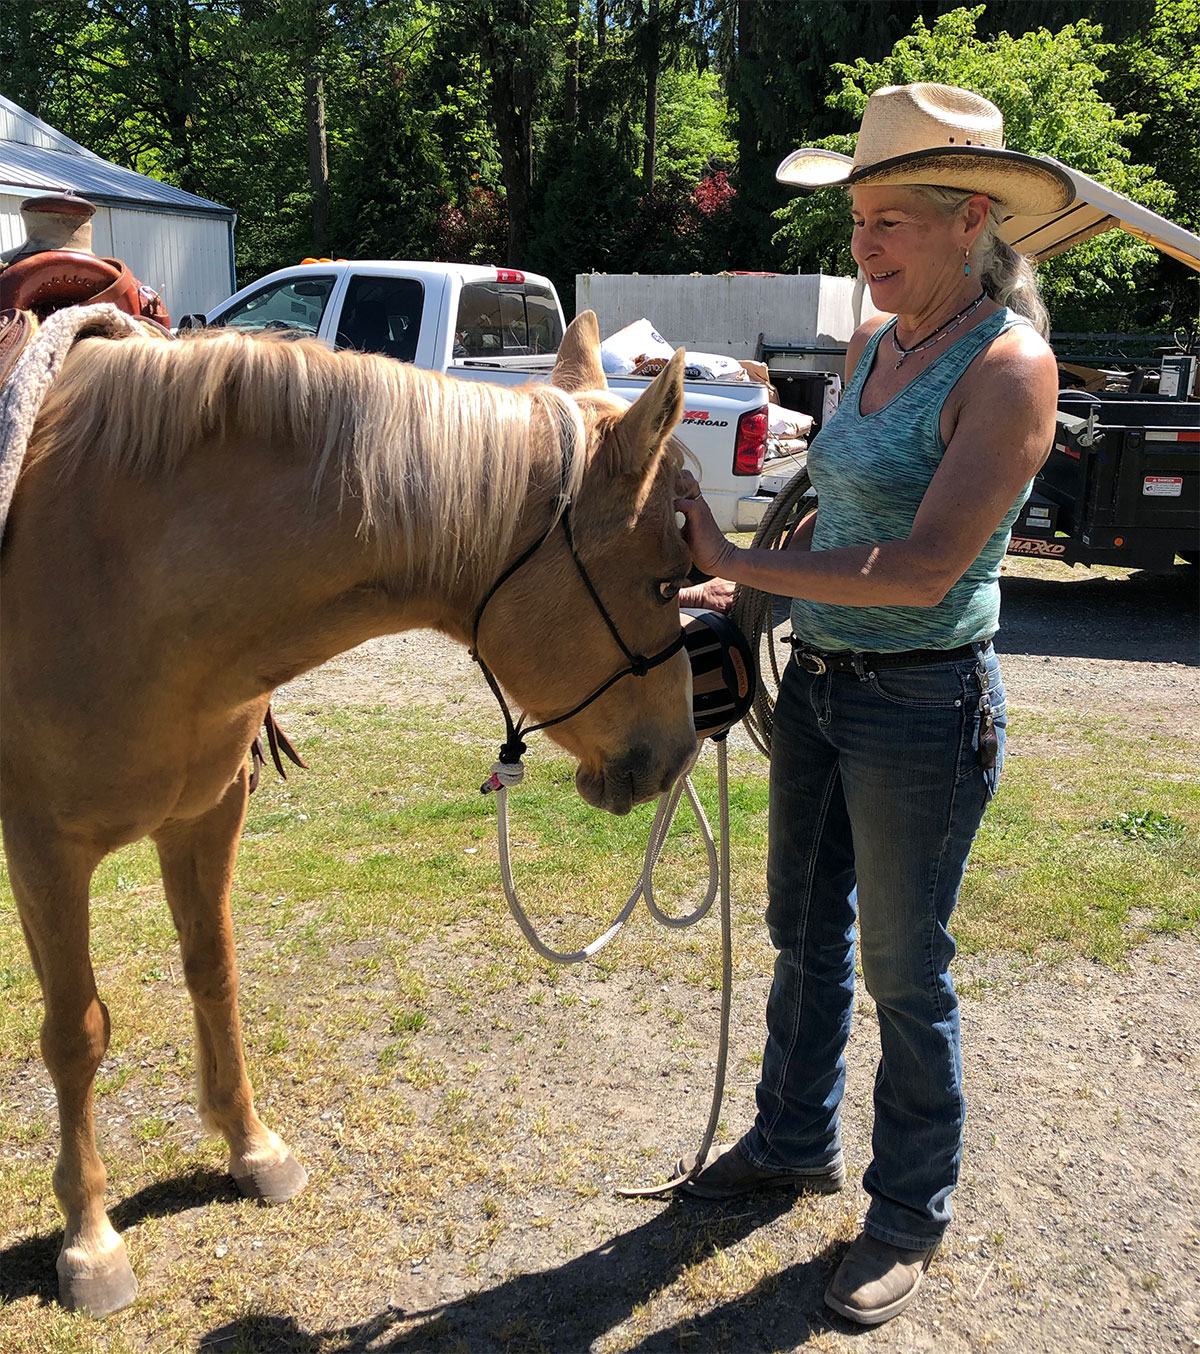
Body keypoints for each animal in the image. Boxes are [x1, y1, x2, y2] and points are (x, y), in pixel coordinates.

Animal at [0, 310, 698, 1310]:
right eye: (666, 580)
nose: (678, 752)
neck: (120, 563)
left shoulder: (207, 815)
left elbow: (214, 972)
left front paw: (252, 1148)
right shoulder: (44, 850)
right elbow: (76, 1033)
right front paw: (90, 1241)